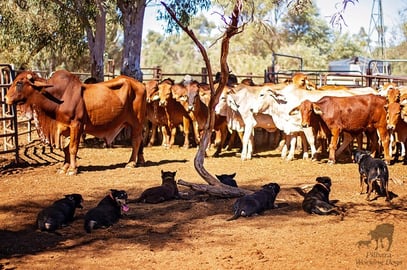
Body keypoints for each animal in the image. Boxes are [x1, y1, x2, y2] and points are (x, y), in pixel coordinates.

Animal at [5, 70, 147, 175]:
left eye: (19, 83)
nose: (5, 98)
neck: (58, 97)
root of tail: (141, 85)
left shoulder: (76, 126)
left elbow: (73, 149)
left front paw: (73, 169)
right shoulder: (65, 127)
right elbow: (66, 150)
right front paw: (64, 168)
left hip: (137, 122)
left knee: (136, 141)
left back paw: (131, 163)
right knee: (140, 140)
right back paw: (140, 160)